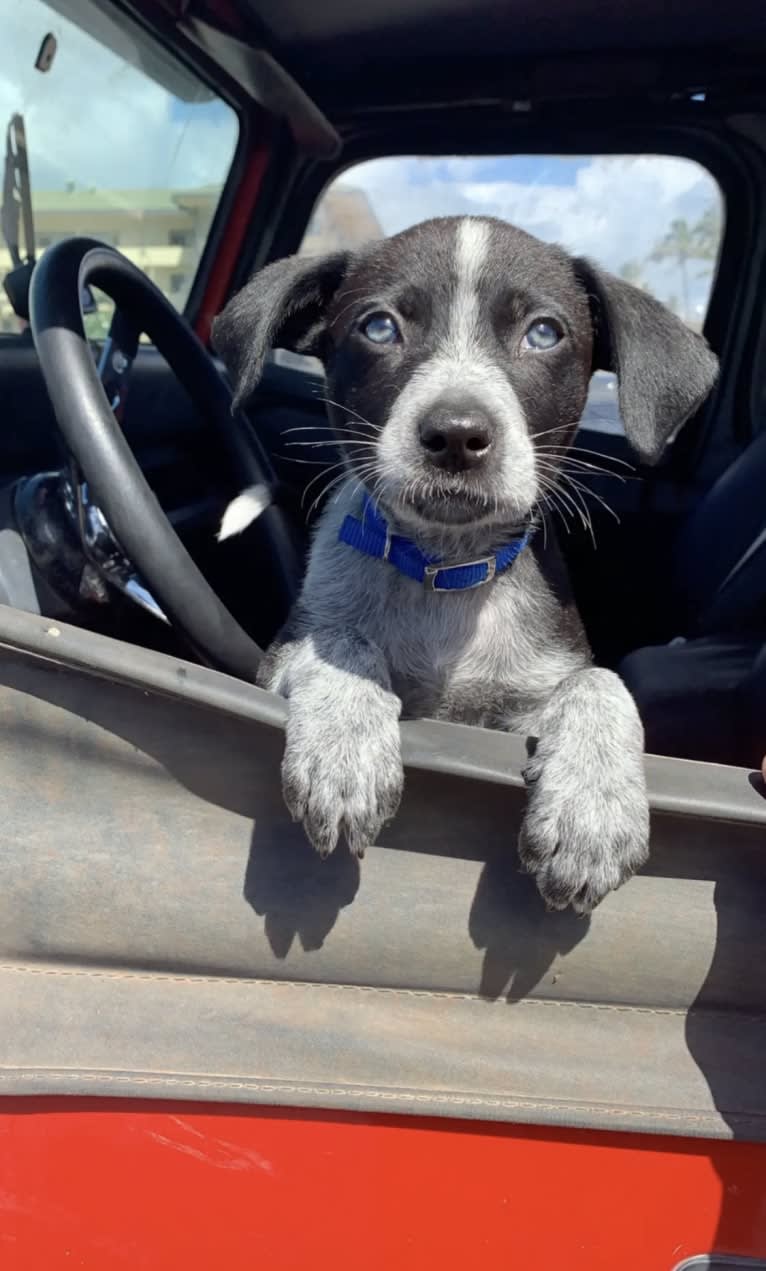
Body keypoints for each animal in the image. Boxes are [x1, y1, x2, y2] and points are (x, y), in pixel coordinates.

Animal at [214, 218, 721, 915]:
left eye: (543, 332)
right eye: (379, 327)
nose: (456, 434)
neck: (446, 572)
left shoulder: (531, 694)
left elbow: (599, 683)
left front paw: (593, 808)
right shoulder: (280, 657)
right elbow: (342, 641)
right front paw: (346, 744)